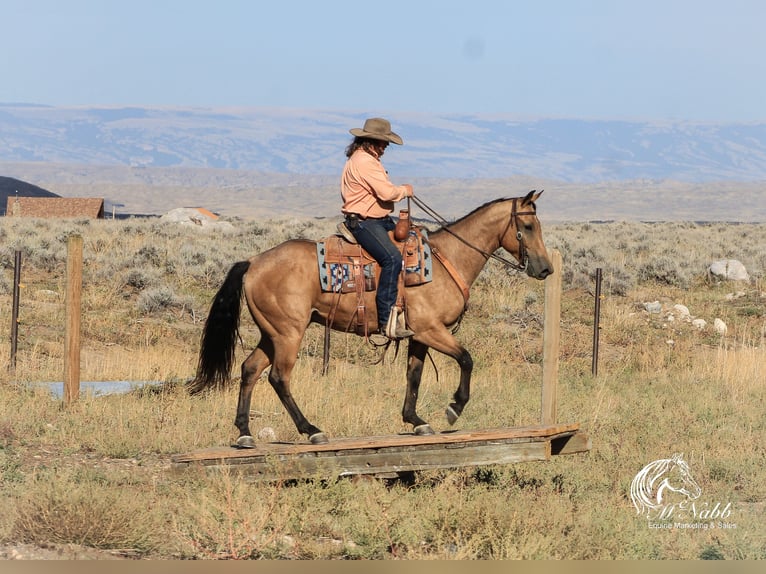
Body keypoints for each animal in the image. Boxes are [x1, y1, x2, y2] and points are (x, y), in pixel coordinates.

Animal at [190, 191, 556, 448]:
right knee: (279, 378)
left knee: (250, 369)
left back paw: (244, 433)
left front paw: (416, 420)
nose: (545, 269)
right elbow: (466, 359)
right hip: (288, 334)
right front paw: (454, 408)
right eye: (526, 227)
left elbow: (414, 376)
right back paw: (312, 430)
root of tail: (252, 262)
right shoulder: (432, 330)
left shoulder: (418, 335)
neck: (447, 259)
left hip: (273, 334)